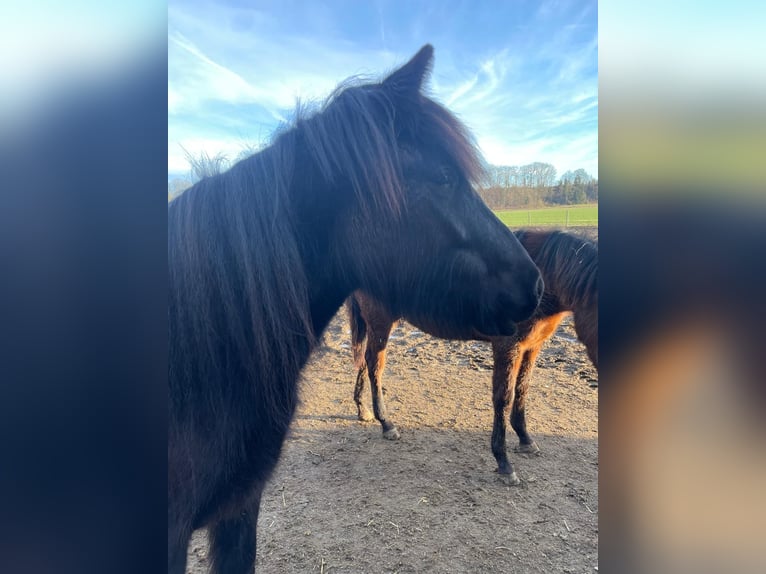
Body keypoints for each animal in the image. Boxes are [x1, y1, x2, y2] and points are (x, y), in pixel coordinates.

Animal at [350, 230, 600, 486]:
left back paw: (363, 409)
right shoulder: (507, 347)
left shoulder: (532, 347)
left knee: (365, 360)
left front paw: (525, 438)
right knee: (375, 365)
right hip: (380, 321)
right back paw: (386, 423)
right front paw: (504, 462)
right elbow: (503, 397)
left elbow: (522, 389)